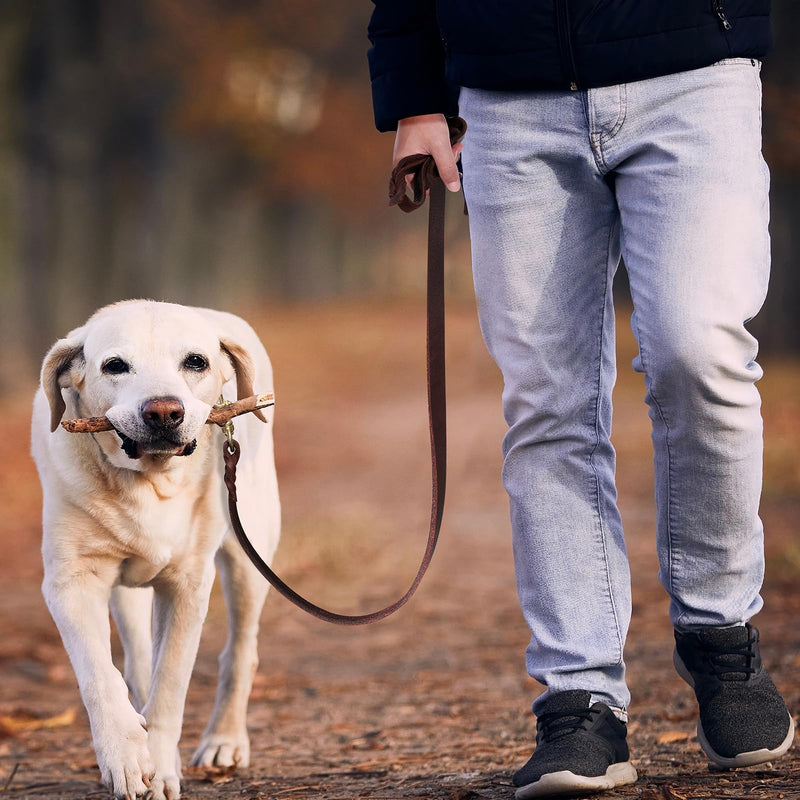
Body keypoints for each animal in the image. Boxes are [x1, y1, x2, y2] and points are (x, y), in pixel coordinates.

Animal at [30, 300, 282, 800]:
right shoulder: (72, 581)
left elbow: (171, 684)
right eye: (114, 365)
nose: (164, 411)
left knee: (240, 652)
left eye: (196, 362)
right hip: (126, 593)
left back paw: (225, 741)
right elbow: (100, 675)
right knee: (137, 660)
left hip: (250, 553)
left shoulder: (187, 583)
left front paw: (162, 767)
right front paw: (125, 757)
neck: (148, 484)